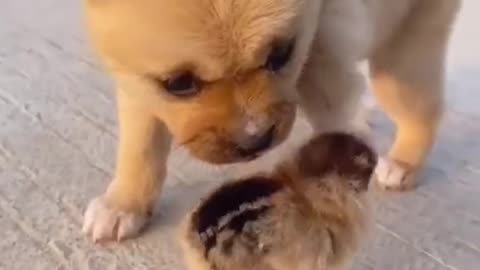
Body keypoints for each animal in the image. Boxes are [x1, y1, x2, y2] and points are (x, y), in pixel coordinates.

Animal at [81, 0, 462, 242]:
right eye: (178, 83)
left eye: (281, 54)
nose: (255, 139)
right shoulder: (137, 82)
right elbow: (141, 147)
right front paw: (124, 204)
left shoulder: (322, 44)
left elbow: (333, 111)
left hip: (400, 60)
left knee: (422, 111)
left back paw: (403, 162)